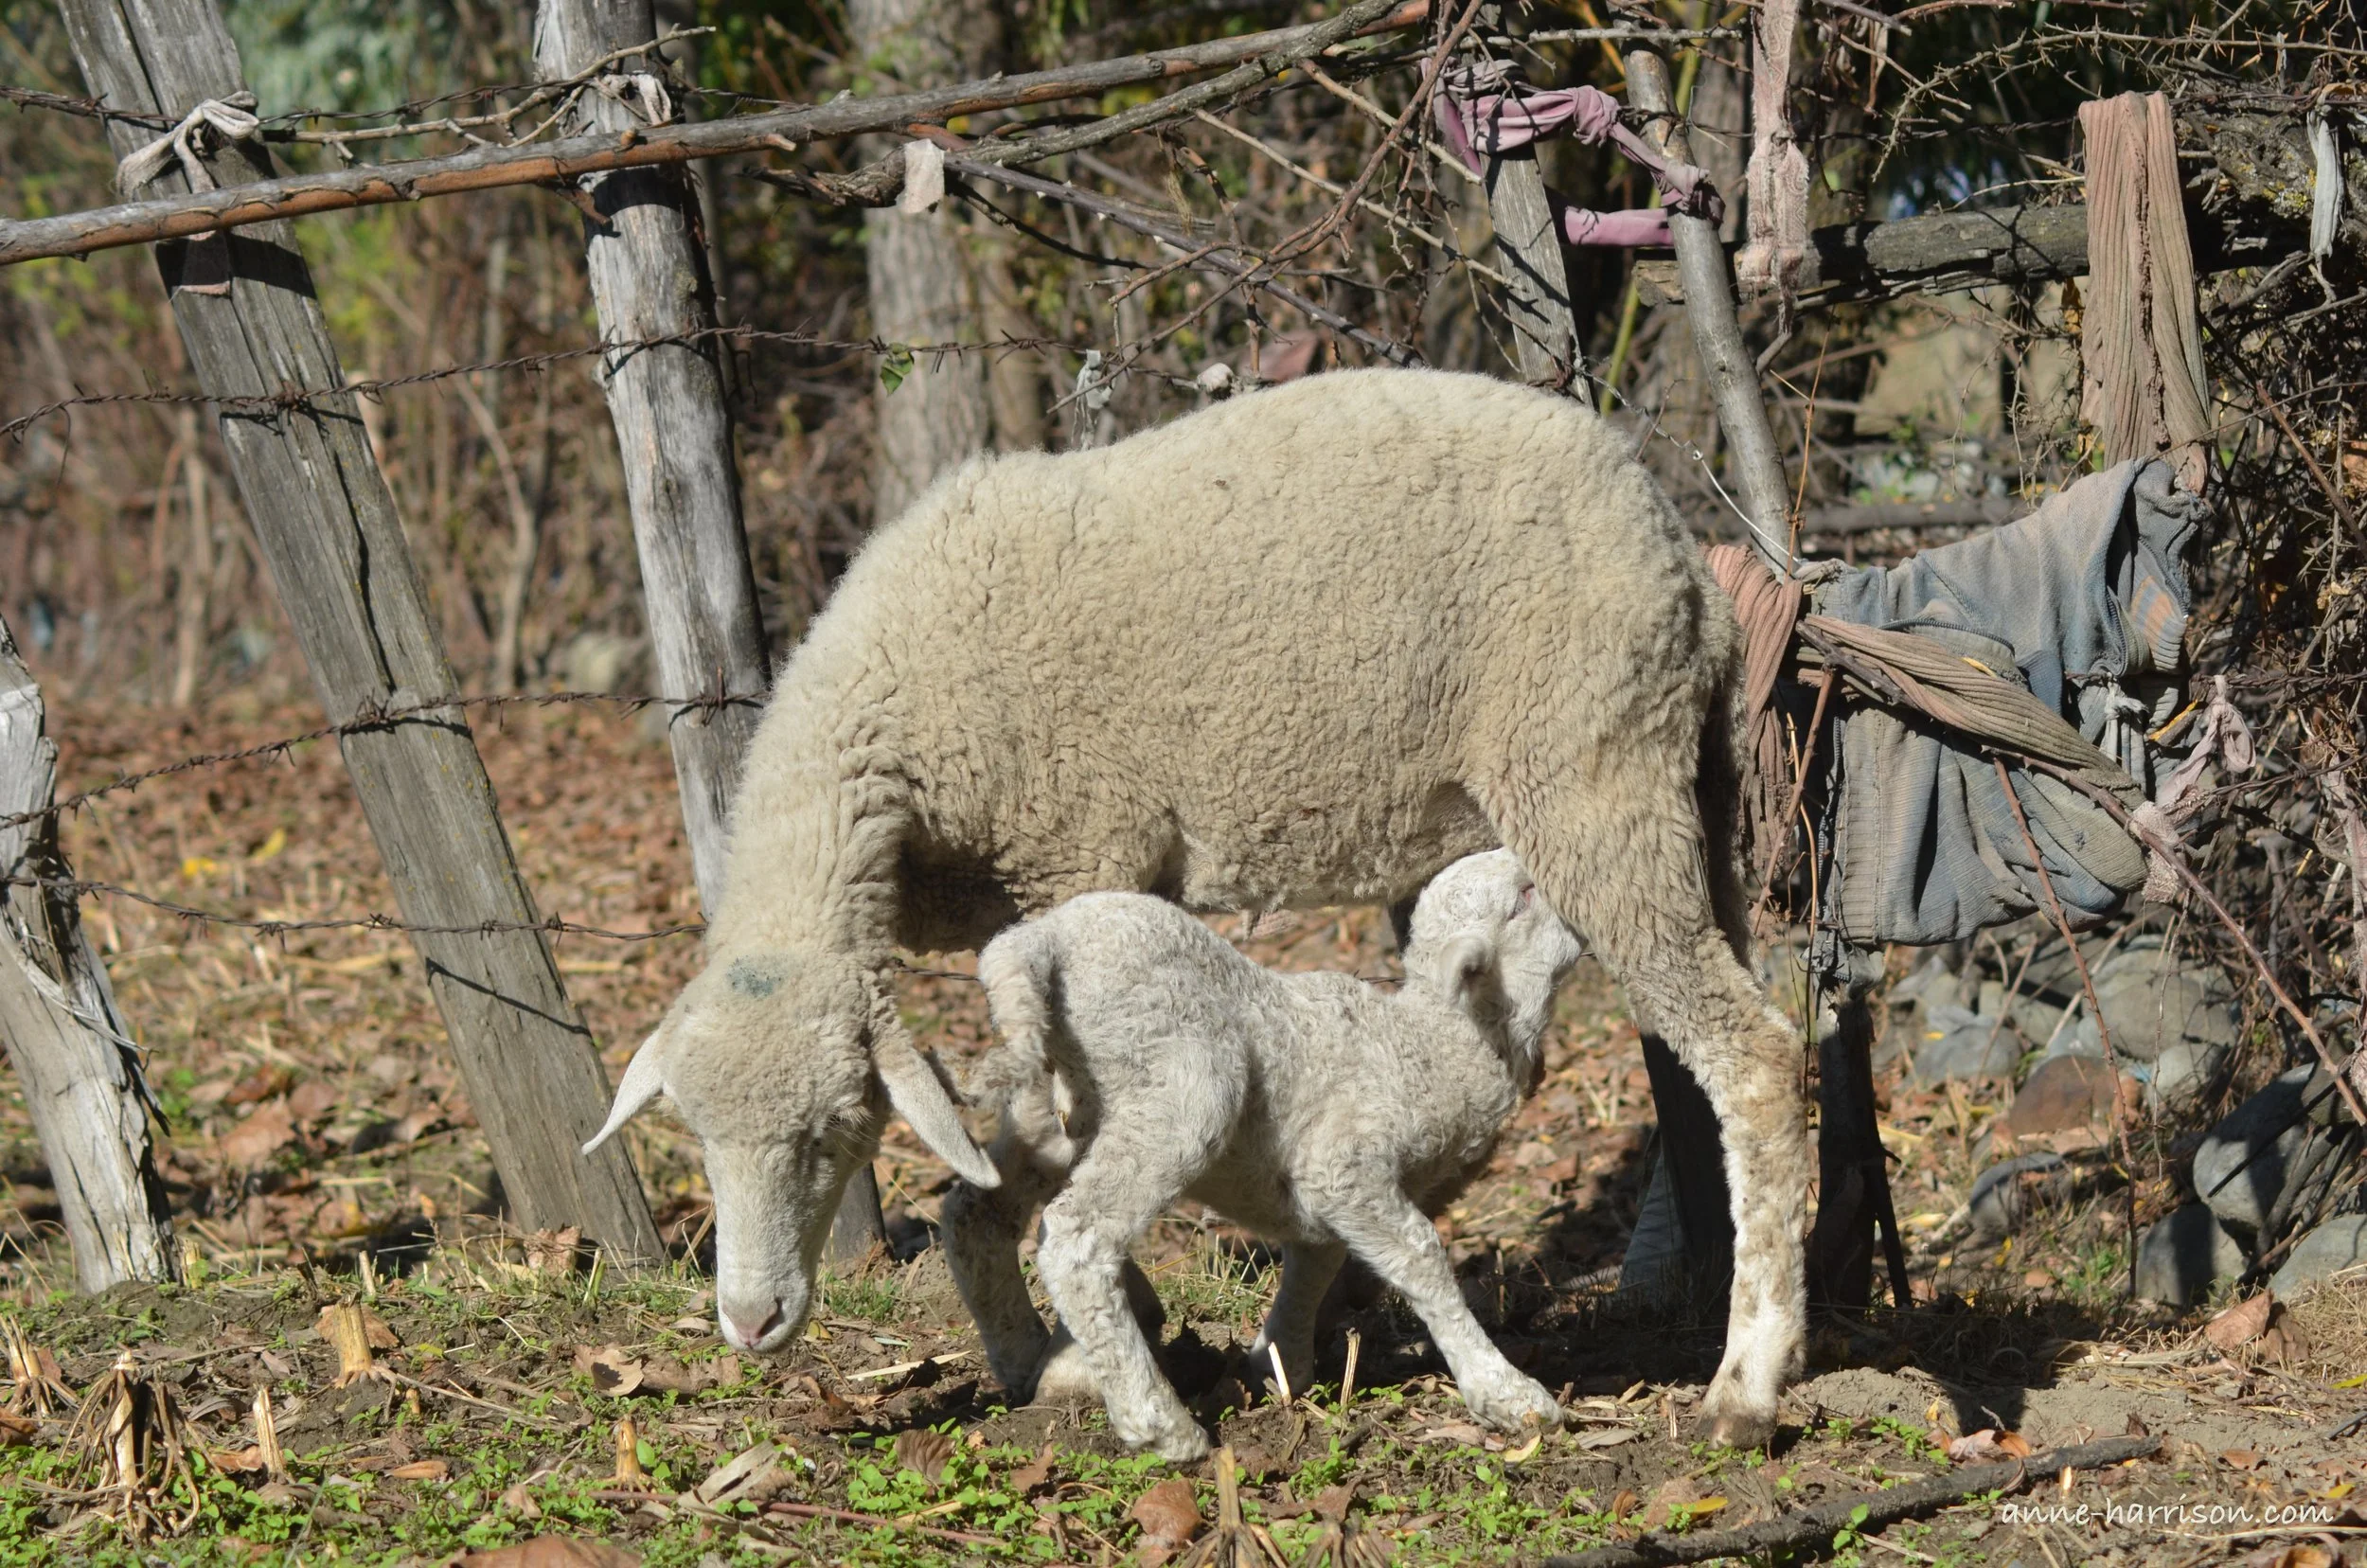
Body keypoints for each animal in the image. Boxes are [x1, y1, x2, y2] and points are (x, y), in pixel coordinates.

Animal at [943, 849, 1585, 1460]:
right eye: (1524, 897)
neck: (1435, 1044)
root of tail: (1041, 940)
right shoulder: (1343, 1162)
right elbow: (1419, 1253)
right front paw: (1508, 1394)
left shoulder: (1318, 1198)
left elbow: (1315, 1264)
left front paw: (1278, 1365)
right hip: (1180, 1082)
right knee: (1077, 1238)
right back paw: (1159, 1426)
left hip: (1048, 1111)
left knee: (975, 1211)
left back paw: (1020, 1356)